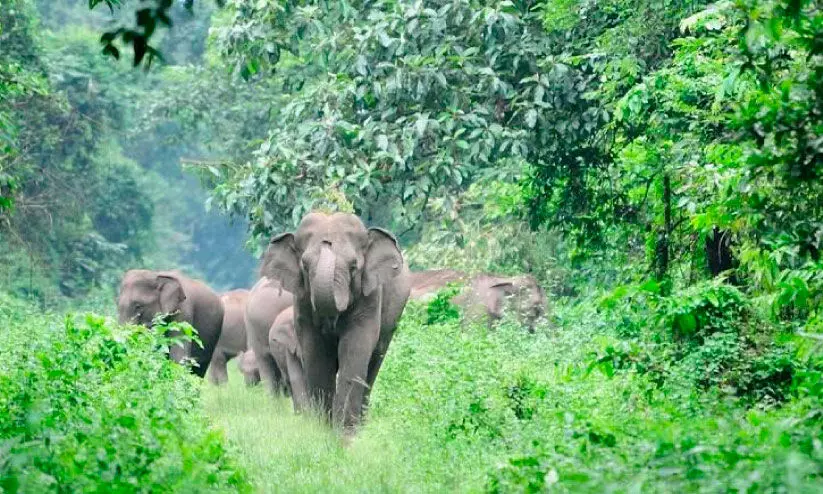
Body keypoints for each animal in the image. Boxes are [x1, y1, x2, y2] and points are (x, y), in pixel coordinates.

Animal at [264, 212, 412, 432]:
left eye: (353, 266)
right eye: (304, 265)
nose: (327, 242)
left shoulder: (370, 297)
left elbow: (354, 351)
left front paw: (345, 434)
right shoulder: (302, 302)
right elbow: (316, 354)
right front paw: (323, 431)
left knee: (373, 364)